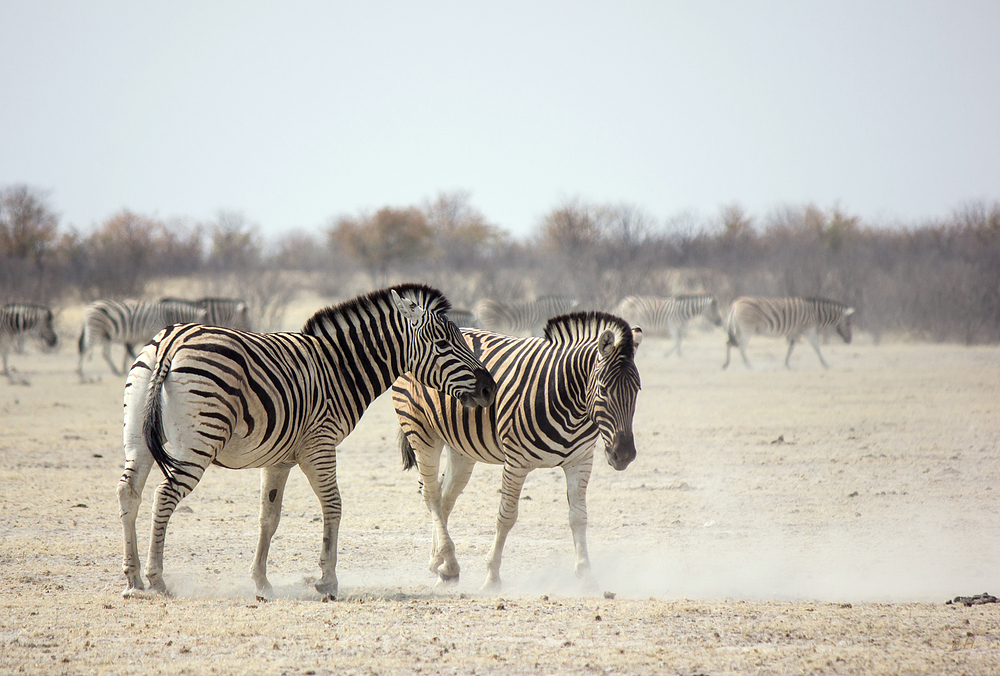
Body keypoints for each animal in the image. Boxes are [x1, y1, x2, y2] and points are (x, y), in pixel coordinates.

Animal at [77, 300, 208, 380]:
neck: (166, 316)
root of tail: (88, 307)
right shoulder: (155, 330)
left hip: (105, 334)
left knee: (105, 353)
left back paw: (116, 371)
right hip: (95, 328)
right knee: (85, 348)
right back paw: (81, 373)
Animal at [119, 282, 494, 600]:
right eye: (444, 345)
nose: (489, 388)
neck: (340, 368)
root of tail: (171, 340)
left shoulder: (279, 458)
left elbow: (269, 517)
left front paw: (261, 582)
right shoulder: (320, 443)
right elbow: (333, 505)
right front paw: (328, 580)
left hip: (137, 436)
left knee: (129, 492)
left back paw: (134, 578)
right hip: (198, 441)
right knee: (163, 495)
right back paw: (157, 579)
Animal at [390, 312, 640, 592]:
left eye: (637, 390)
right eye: (603, 390)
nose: (624, 455)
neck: (571, 406)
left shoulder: (581, 460)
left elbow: (578, 517)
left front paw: (586, 574)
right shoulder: (516, 462)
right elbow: (506, 518)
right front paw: (492, 577)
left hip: (461, 447)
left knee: (445, 497)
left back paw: (440, 565)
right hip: (421, 430)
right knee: (431, 494)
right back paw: (448, 564)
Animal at [724, 296, 856, 370]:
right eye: (848, 324)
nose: (850, 340)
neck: (815, 314)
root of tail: (735, 304)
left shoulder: (795, 331)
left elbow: (791, 347)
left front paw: (787, 364)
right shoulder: (808, 329)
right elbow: (816, 347)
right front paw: (825, 364)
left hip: (738, 329)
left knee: (729, 343)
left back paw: (726, 365)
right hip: (747, 329)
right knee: (741, 347)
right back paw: (749, 366)